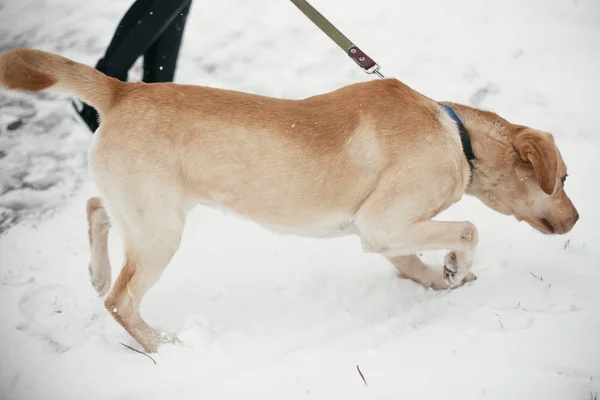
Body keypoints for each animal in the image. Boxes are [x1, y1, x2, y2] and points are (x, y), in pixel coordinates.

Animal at [1, 49, 580, 354]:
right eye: (564, 177)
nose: (577, 219)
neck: (458, 138)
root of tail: (124, 91)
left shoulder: (386, 233)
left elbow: (412, 261)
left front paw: (443, 279)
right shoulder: (382, 222)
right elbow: (468, 229)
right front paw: (457, 266)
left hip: (146, 214)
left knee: (95, 208)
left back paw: (98, 271)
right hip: (160, 230)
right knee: (122, 301)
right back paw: (164, 344)